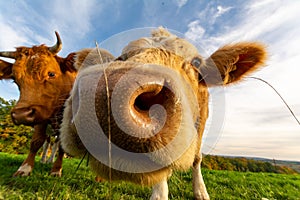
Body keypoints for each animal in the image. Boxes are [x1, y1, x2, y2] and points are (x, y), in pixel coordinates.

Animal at [0, 31, 115, 177]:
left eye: (51, 74)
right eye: (15, 79)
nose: (20, 115)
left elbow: (61, 146)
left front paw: (56, 170)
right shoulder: (40, 114)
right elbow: (36, 141)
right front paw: (25, 168)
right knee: (47, 143)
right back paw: (44, 160)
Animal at [59, 27, 266, 200]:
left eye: (196, 62)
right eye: (122, 56)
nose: (107, 96)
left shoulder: (202, 122)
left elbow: (197, 158)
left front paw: (200, 191)